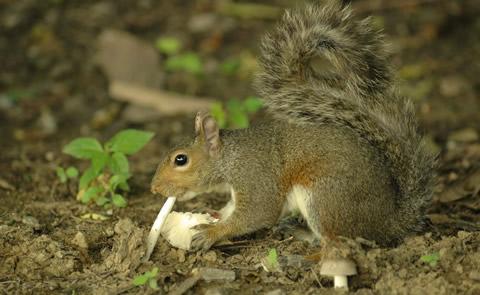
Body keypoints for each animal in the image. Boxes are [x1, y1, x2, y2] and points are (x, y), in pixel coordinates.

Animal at [150, 0, 436, 251]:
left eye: (180, 159)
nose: (154, 188)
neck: (230, 156)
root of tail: (390, 221)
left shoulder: (255, 176)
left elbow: (258, 212)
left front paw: (213, 232)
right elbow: (231, 209)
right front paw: (215, 214)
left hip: (325, 197)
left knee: (337, 240)